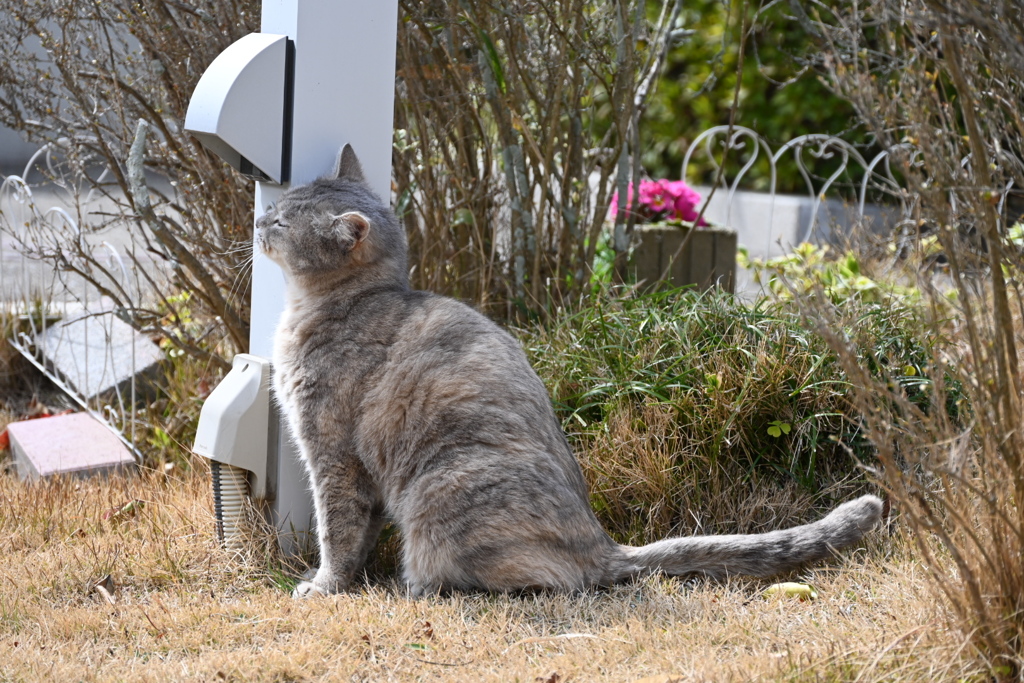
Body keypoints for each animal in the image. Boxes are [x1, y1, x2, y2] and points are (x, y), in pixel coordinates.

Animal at [253, 145, 880, 598]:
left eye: (282, 221)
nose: (259, 217)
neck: (350, 300)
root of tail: (601, 542)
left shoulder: (332, 455)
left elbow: (337, 531)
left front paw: (324, 586)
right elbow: (358, 537)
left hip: (440, 490)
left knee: (548, 581)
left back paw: (429, 587)